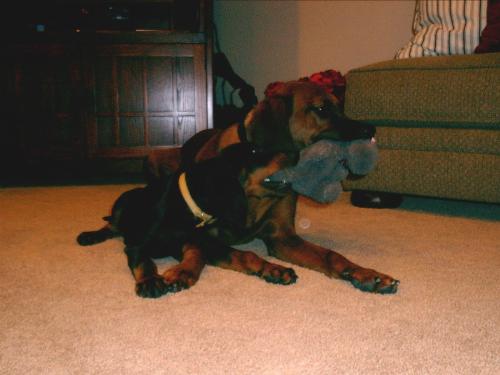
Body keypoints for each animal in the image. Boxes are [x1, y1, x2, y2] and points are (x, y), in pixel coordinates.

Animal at [146, 81, 400, 296]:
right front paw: (184, 270)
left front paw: (366, 274)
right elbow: (219, 250)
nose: (371, 129)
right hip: (155, 159)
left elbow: (331, 255)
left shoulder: (283, 238)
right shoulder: (196, 231)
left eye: (341, 107)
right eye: (321, 109)